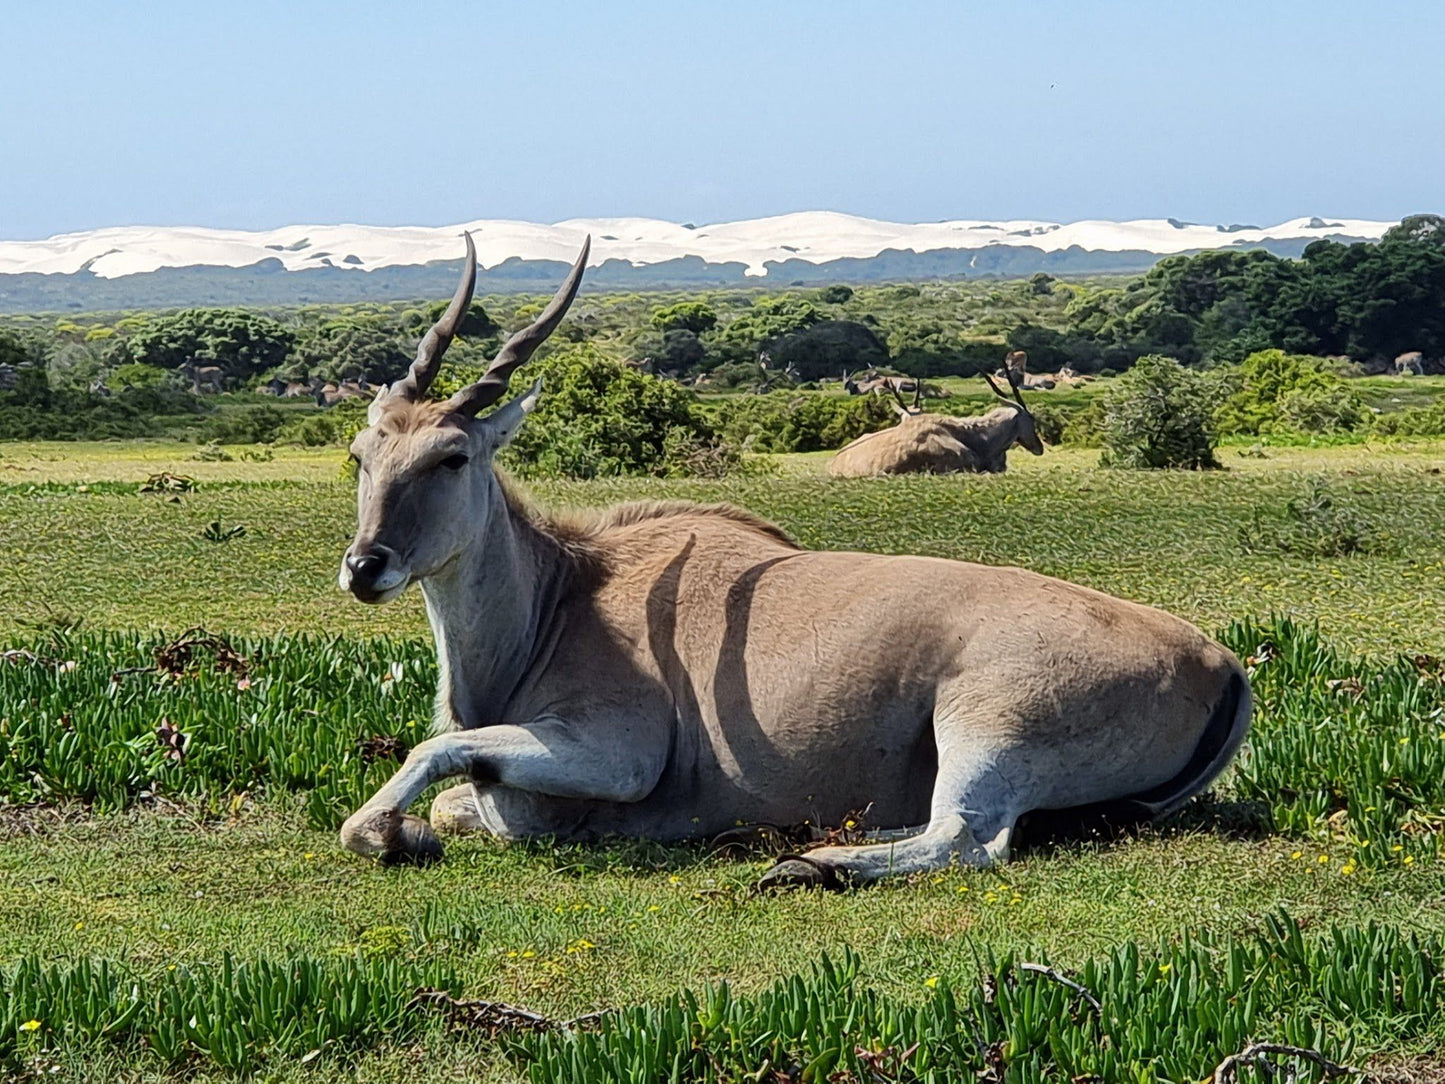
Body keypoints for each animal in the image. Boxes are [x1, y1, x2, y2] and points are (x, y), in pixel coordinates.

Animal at [332, 234, 1248, 884]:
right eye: (361, 454)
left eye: (452, 457)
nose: (364, 566)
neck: (564, 597)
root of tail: (1219, 660)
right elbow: (450, 797)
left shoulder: (614, 756)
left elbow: (430, 762)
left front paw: (386, 832)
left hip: (987, 727)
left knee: (966, 841)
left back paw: (805, 863)